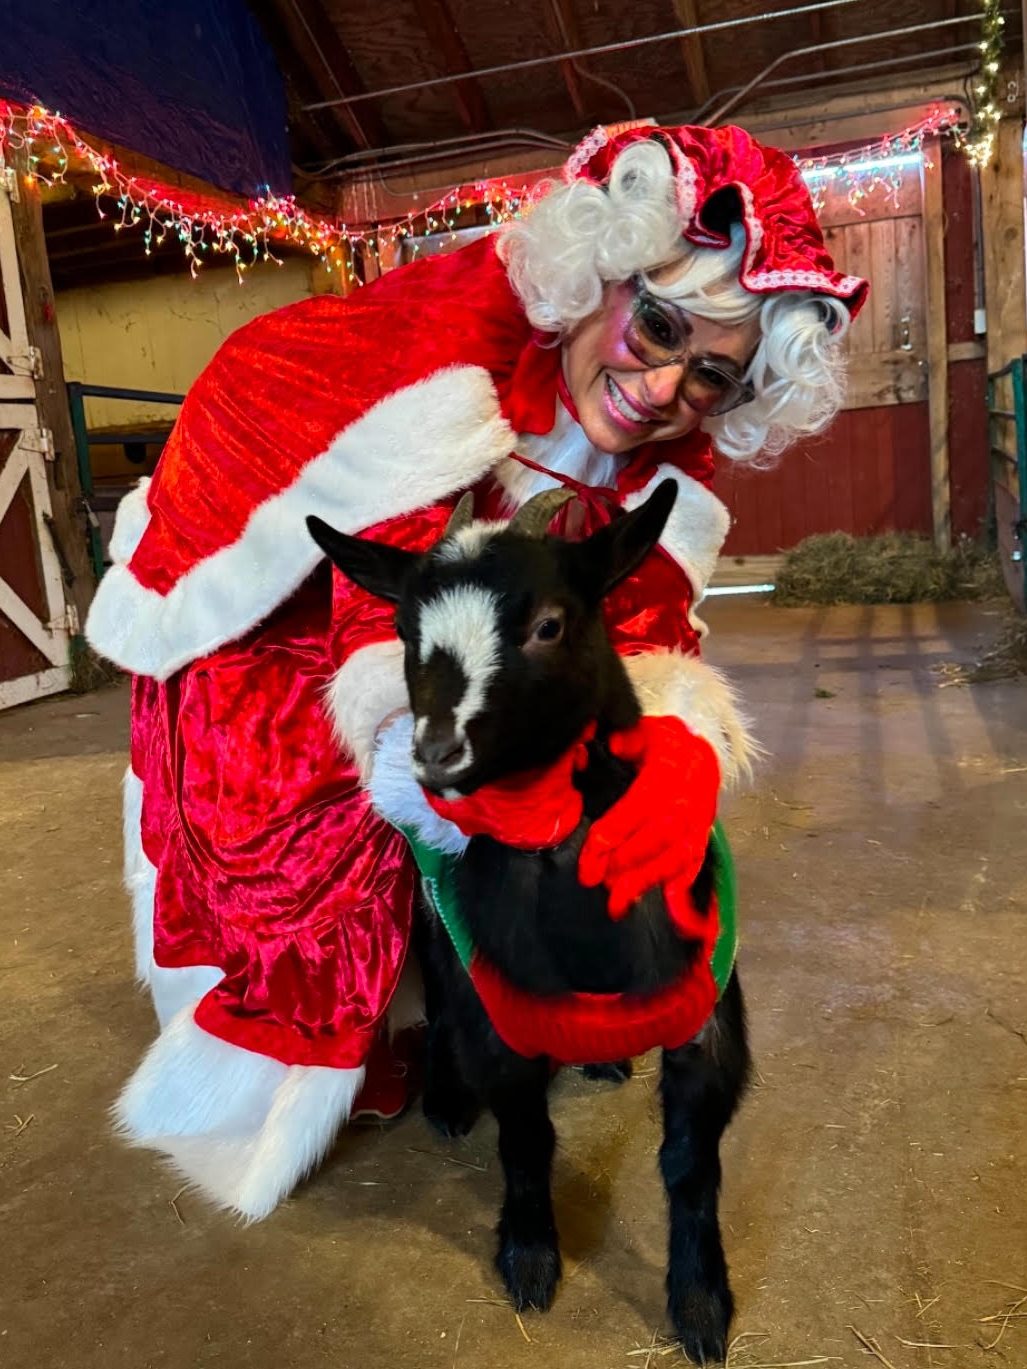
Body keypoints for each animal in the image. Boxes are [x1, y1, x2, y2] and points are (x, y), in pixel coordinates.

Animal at [307, 482, 751, 1364]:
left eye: (549, 623)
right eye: (405, 631)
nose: (437, 753)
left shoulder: (706, 1022)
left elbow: (689, 1163)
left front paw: (699, 1305)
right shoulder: (501, 1012)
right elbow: (523, 1139)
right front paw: (530, 1257)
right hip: (436, 912)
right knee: (439, 991)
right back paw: (445, 1097)